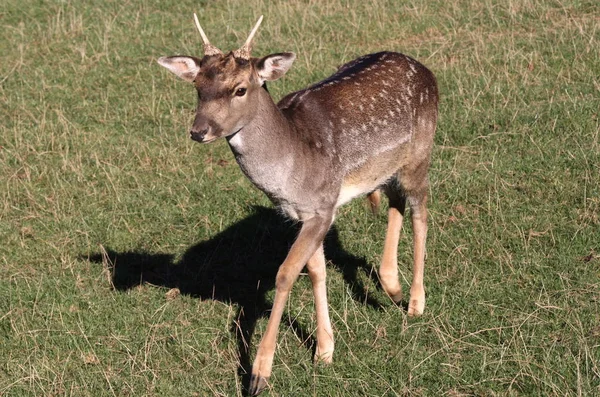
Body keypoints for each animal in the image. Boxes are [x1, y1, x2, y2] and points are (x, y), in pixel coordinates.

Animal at [157, 13, 438, 394]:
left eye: (240, 89)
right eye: (198, 87)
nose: (199, 131)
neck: (291, 169)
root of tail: (426, 70)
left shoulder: (322, 206)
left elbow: (286, 273)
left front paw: (259, 374)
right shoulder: (307, 213)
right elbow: (317, 271)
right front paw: (324, 350)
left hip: (421, 153)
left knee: (421, 212)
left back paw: (415, 302)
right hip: (387, 167)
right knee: (395, 200)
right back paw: (391, 286)